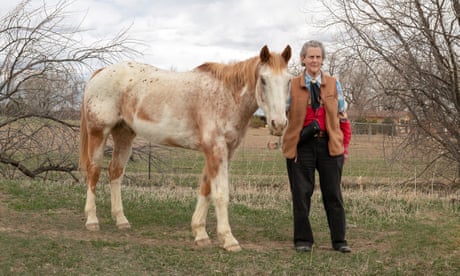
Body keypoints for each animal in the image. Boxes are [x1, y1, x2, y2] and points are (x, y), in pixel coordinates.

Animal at [79, 44, 292, 251]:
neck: (224, 96)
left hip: (124, 135)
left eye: (289, 81)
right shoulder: (216, 150)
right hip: (99, 133)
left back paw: (121, 220)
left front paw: (200, 233)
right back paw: (92, 220)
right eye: (263, 80)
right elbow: (220, 194)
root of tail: (101, 72)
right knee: (94, 172)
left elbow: (206, 189)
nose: (279, 124)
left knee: (115, 172)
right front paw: (228, 239)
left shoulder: (221, 151)